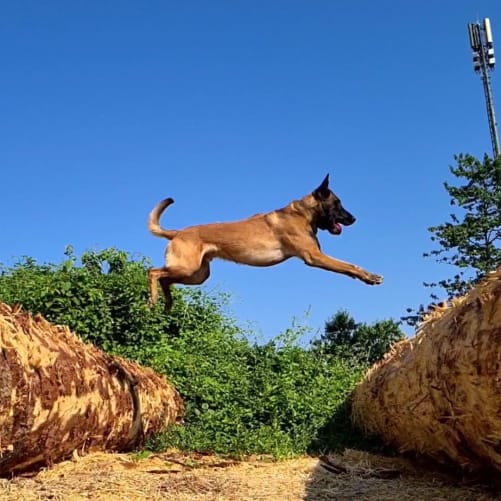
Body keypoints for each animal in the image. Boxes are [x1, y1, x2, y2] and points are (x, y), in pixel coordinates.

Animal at [147, 175, 382, 308]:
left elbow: (347, 268)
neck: (303, 213)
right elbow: (349, 266)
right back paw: (154, 300)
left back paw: (167, 304)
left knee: (165, 279)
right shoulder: (314, 257)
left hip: (198, 275)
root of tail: (177, 233)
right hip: (187, 268)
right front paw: (370, 276)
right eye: (337, 204)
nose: (353, 218)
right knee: (153, 272)